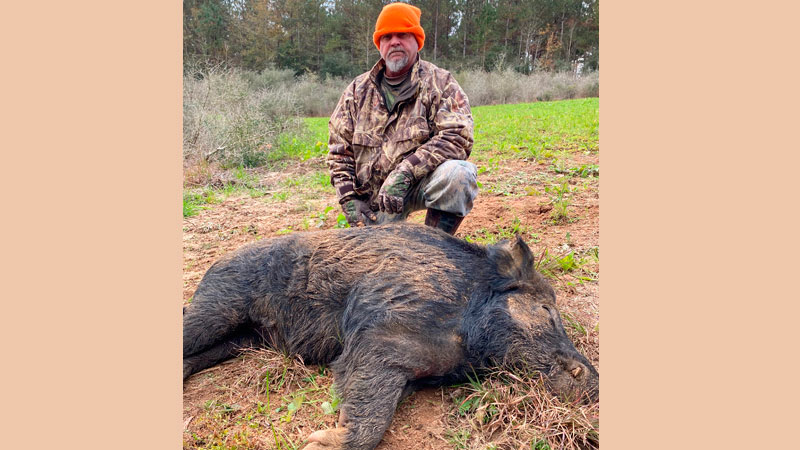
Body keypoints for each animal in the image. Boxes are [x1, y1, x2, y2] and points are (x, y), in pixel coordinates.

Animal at [183, 224, 598, 450]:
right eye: (546, 309)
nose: (592, 379)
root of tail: (214, 265)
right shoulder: (379, 335)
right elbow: (370, 412)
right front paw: (314, 442)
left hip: (239, 340)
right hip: (217, 307)